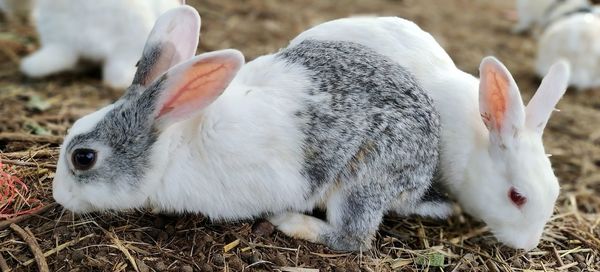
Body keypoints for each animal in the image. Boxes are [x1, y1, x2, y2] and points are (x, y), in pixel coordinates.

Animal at [54, 5, 450, 251]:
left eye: (84, 158)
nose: (58, 196)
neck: (171, 143)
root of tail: (422, 173)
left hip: (362, 180)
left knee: (352, 239)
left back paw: (291, 221)